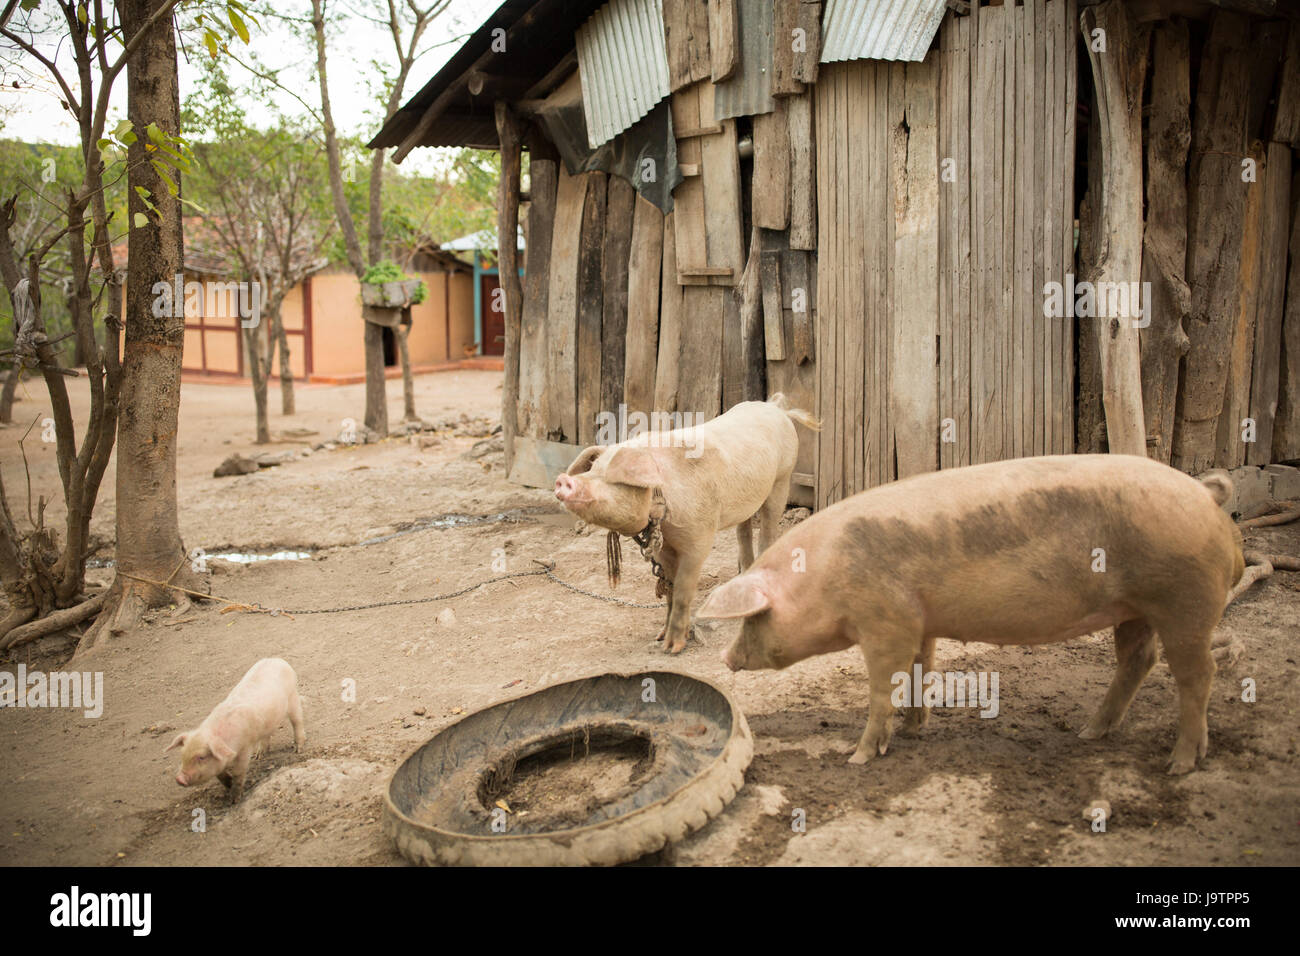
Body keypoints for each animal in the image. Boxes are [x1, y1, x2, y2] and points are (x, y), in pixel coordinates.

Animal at [165, 658, 306, 801]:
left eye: (201, 757)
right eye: (182, 754)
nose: (179, 779)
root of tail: (277, 659)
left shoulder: (245, 748)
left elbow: (238, 772)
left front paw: (235, 799)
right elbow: (220, 775)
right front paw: (228, 784)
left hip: (293, 698)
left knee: (297, 721)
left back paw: (298, 749)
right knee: (267, 735)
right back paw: (259, 756)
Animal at [553, 392, 816, 655]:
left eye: (612, 478)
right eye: (592, 469)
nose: (563, 479)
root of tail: (775, 407)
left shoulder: (699, 536)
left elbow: (682, 589)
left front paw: (672, 648)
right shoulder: (665, 547)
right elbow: (669, 589)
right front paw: (660, 637)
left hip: (782, 478)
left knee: (769, 529)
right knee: (743, 530)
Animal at [696, 452, 1242, 775]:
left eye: (754, 617)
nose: (725, 659)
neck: (824, 575)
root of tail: (1206, 495)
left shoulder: (885, 620)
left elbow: (882, 688)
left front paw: (857, 758)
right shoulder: (919, 621)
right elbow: (921, 670)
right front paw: (914, 731)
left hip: (1185, 603)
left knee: (1198, 673)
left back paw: (1179, 764)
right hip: (1136, 608)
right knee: (1139, 661)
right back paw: (1090, 733)